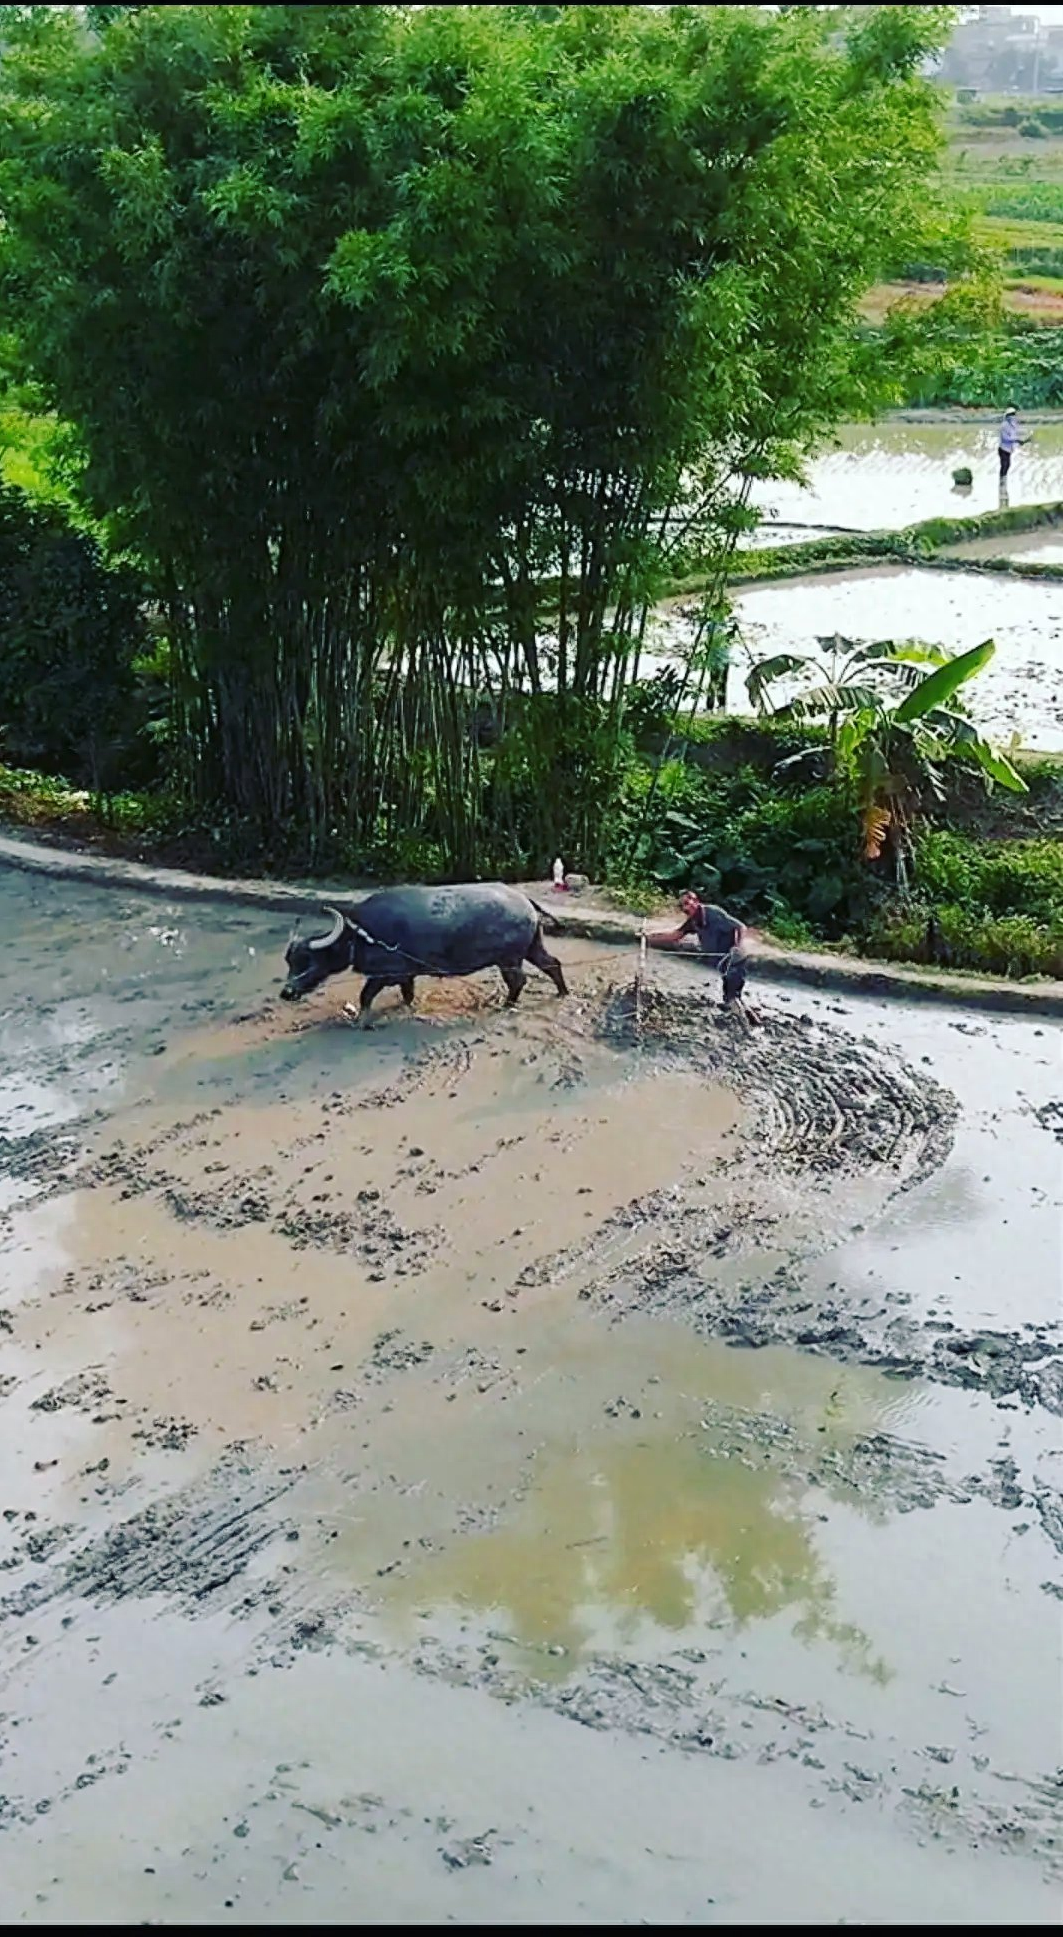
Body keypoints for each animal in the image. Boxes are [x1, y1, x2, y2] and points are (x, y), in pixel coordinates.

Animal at [276, 887, 569, 1022]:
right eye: (289, 961)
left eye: (308, 960)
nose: (286, 993)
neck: (360, 934)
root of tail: (525, 901)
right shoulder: (407, 974)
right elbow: (407, 993)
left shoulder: (383, 975)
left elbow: (365, 995)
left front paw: (361, 1018)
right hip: (531, 948)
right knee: (552, 964)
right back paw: (562, 992)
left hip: (509, 959)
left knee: (518, 981)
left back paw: (507, 1004)